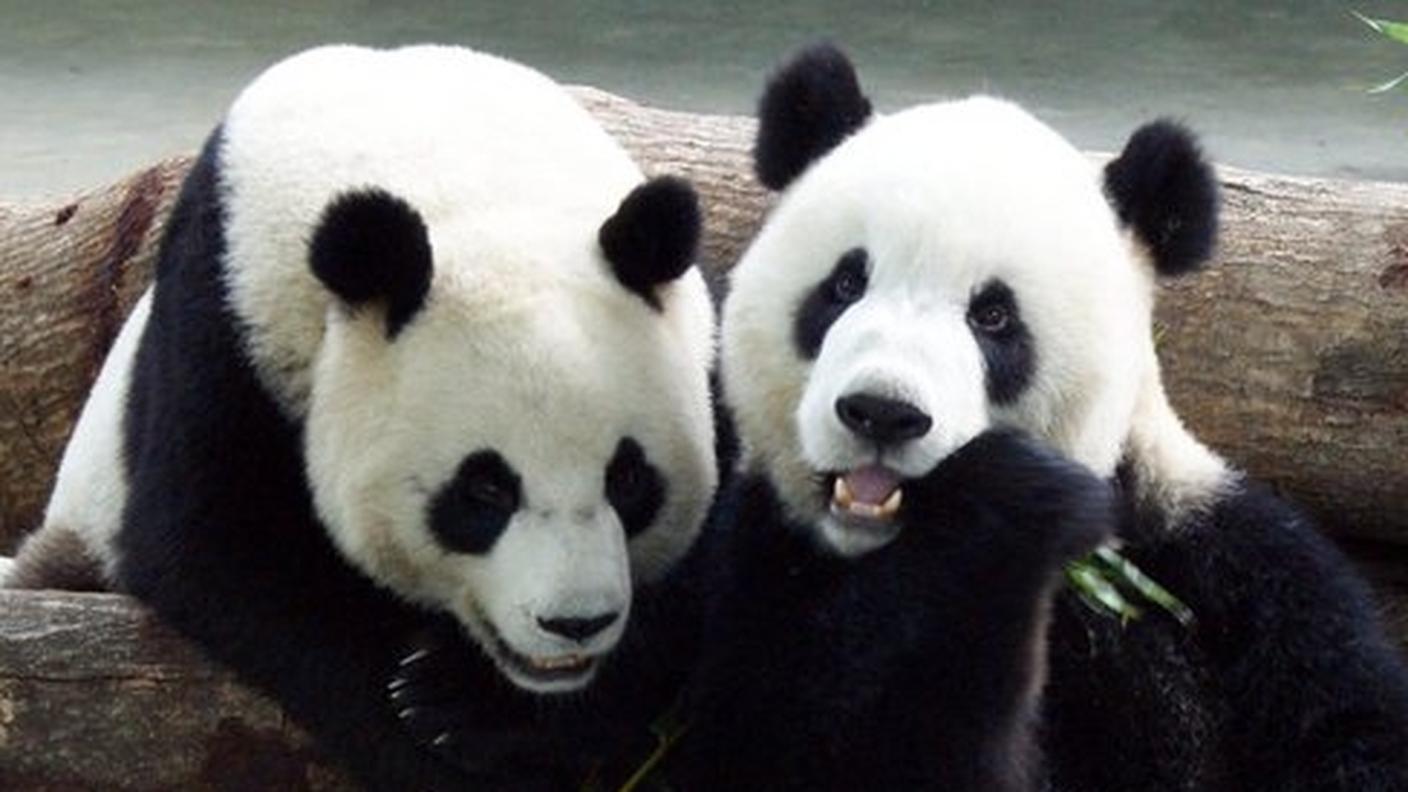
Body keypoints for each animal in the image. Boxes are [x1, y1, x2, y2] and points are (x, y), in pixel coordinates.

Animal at [5, 45, 719, 790]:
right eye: (484, 489)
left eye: (629, 480)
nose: (575, 622)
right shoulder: (227, 315)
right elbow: (227, 547)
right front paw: (432, 715)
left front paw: (485, 706)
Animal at [669, 44, 1408, 790]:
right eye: (845, 285)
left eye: (993, 316)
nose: (882, 413)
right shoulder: (758, 553)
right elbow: (807, 744)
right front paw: (1006, 508)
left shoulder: (1228, 568)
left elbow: (1345, 720)